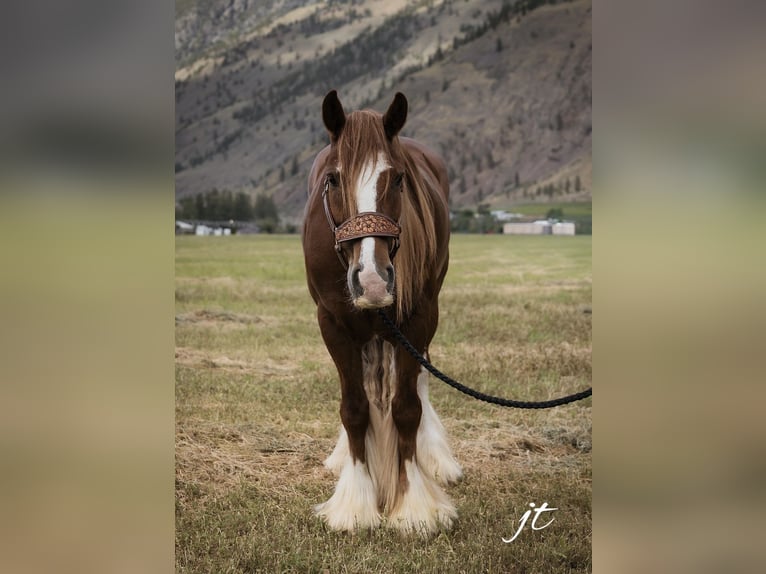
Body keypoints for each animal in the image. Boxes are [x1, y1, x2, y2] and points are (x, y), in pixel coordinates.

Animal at [302, 90, 462, 535]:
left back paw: (434, 458)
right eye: (334, 179)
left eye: (398, 179)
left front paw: (414, 506)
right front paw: (355, 504)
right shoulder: (332, 324)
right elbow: (355, 409)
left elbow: (407, 408)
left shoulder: (419, 318)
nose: (372, 280)